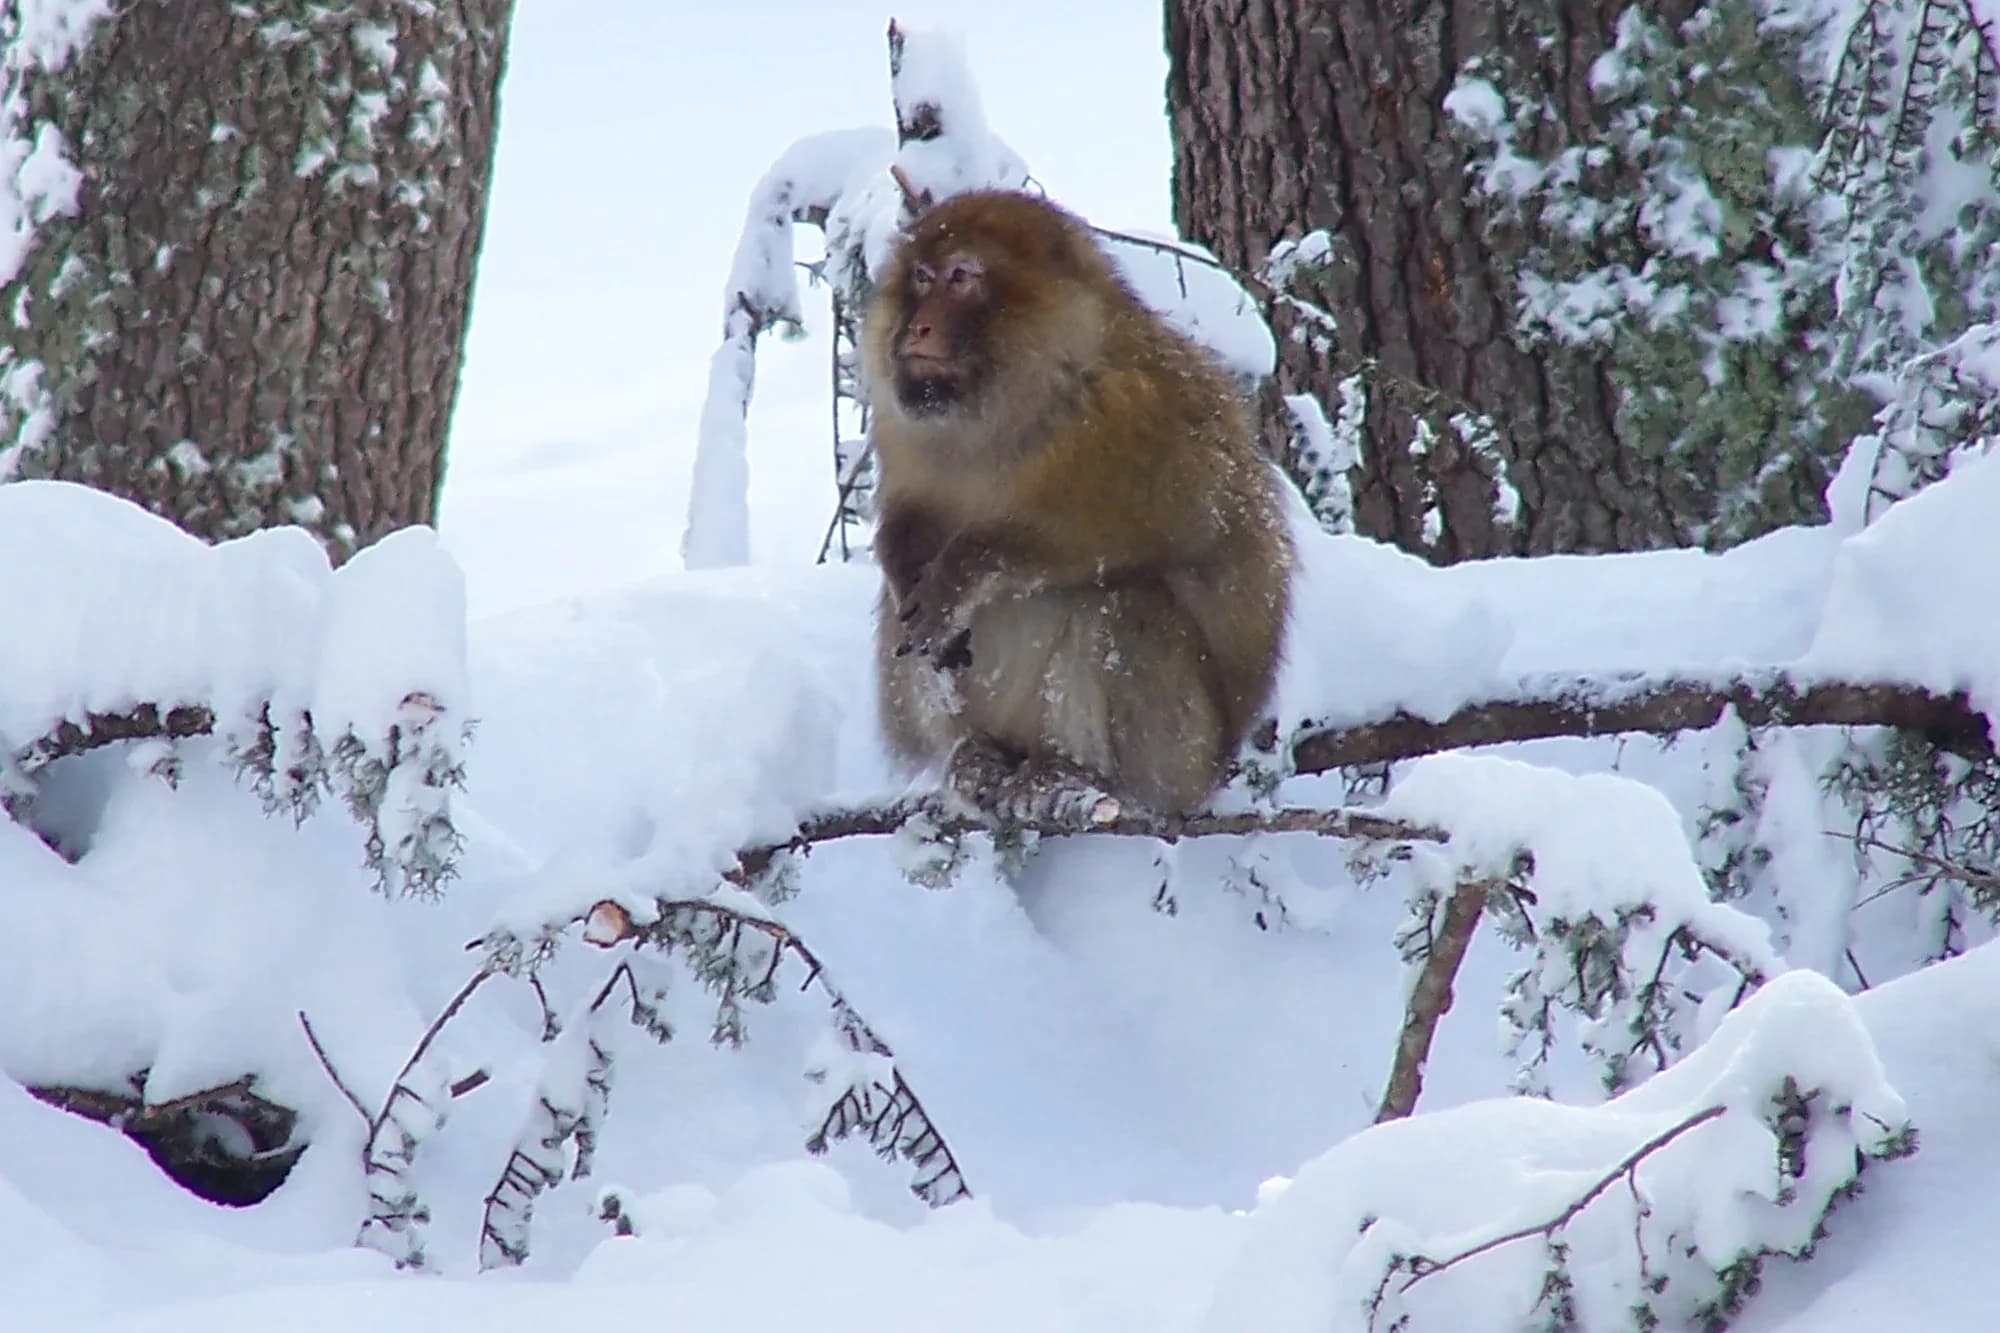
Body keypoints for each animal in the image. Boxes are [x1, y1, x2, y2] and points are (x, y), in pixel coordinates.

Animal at [863, 188, 1294, 817]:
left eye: (961, 277)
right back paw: (972, 754)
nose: (915, 328)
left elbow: (1162, 527)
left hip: (1180, 756)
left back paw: (1076, 776)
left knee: (1121, 601)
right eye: (921, 277)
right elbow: (908, 515)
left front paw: (962, 569)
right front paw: (903, 562)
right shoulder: (905, 432)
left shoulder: (1135, 414)